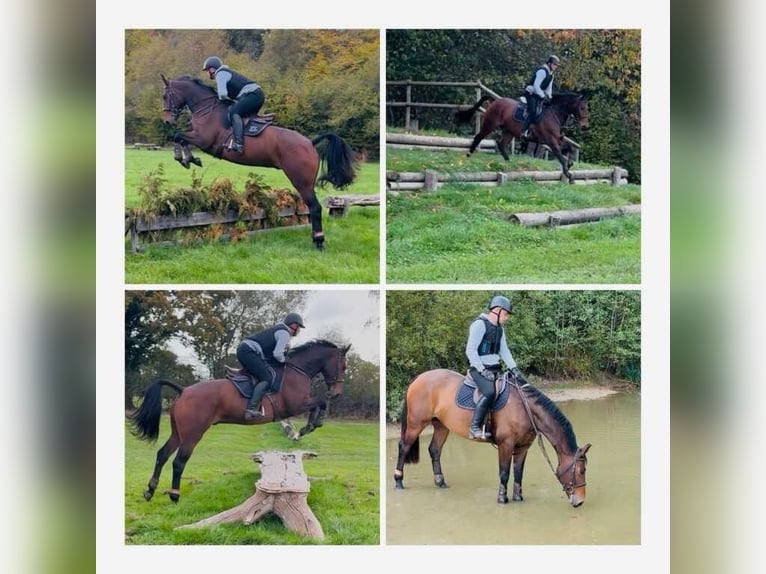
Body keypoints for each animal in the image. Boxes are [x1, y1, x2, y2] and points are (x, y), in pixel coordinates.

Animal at [128, 339, 351, 503]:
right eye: (343, 366)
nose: (337, 393)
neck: (298, 369)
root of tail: (183, 391)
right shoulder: (295, 405)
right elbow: (320, 402)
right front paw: (310, 426)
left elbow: (319, 404)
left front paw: (309, 426)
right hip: (193, 434)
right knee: (179, 461)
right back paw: (175, 495)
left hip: (178, 433)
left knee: (162, 454)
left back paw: (150, 490)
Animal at [160, 75, 358, 250]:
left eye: (165, 96)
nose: (167, 121)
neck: (206, 109)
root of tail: (310, 143)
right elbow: (180, 137)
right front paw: (190, 159)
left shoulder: (204, 140)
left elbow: (178, 136)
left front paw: (184, 158)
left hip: (302, 181)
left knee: (315, 208)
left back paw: (318, 241)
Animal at [393, 369, 592, 507]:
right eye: (581, 471)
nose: (580, 501)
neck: (525, 408)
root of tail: (419, 378)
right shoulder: (506, 445)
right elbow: (504, 473)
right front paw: (502, 498)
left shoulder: (523, 447)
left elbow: (518, 472)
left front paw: (518, 497)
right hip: (416, 424)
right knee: (403, 447)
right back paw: (398, 481)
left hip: (442, 426)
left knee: (434, 450)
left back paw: (440, 482)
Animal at [454, 92, 589, 184]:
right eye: (582, 108)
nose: (585, 127)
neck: (554, 114)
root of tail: (495, 101)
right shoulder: (551, 141)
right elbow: (561, 157)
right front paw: (569, 175)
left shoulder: (558, 139)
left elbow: (570, 148)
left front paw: (570, 165)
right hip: (490, 124)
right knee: (479, 137)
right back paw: (469, 154)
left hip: (509, 131)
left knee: (501, 144)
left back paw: (509, 162)